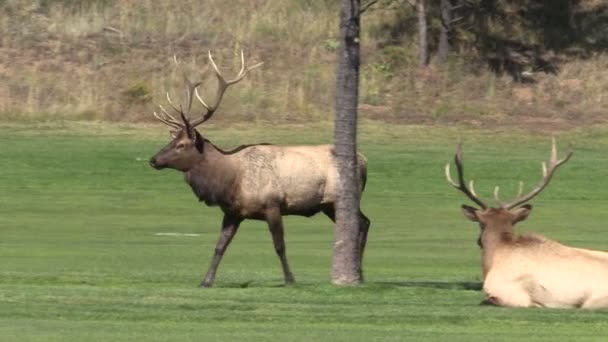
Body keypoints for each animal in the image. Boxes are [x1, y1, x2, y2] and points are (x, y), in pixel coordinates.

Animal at [148, 51, 370, 286]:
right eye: (172, 140)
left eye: (181, 145)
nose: (153, 160)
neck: (230, 181)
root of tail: (364, 161)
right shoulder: (233, 212)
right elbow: (220, 246)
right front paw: (206, 281)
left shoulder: (272, 205)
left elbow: (279, 246)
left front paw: (290, 279)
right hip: (328, 205)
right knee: (363, 223)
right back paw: (359, 272)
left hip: (341, 198)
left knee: (362, 223)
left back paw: (359, 272)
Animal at [444, 138, 608, 308]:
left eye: (481, 225)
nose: (478, 241)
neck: (495, 258)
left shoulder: (509, 294)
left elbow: (486, 301)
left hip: (593, 301)